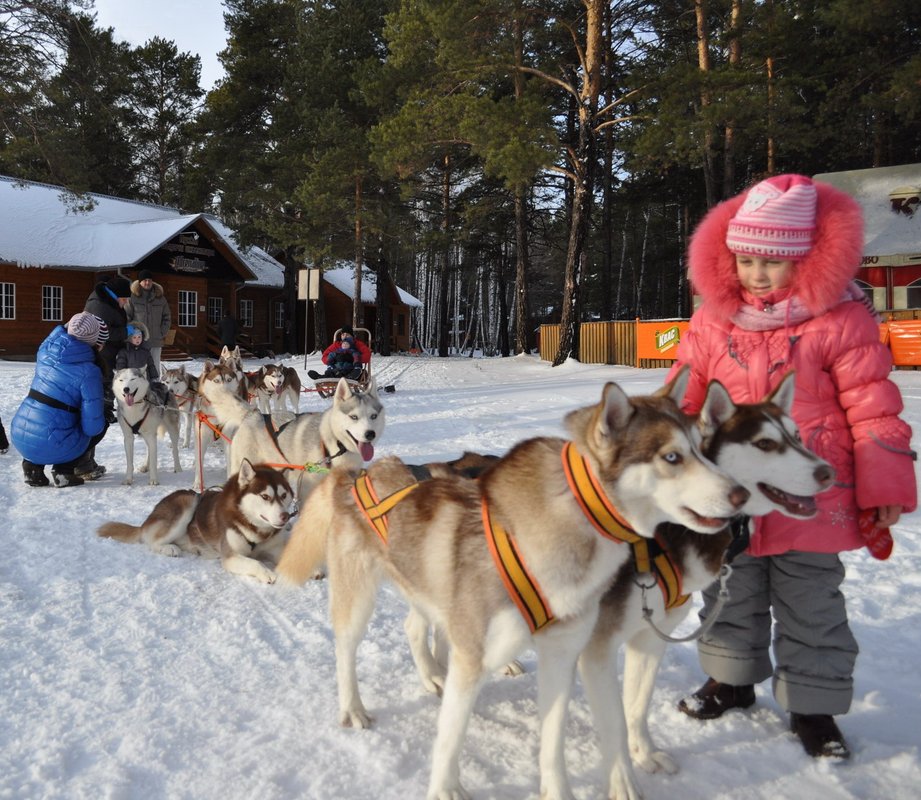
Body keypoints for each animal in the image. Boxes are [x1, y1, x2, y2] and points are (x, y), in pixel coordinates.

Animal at [97, 462, 292, 580]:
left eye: (284, 495)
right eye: (265, 496)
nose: (285, 516)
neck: (257, 530)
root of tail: (149, 518)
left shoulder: (275, 547)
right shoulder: (230, 556)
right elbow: (254, 562)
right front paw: (268, 573)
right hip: (187, 501)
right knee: (152, 542)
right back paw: (169, 548)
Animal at [201, 374, 384, 500]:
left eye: (373, 416)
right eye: (354, 417)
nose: (370, 434)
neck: (333, 445)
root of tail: (253, 413)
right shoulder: (307, 487)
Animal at [274, 374, 748, 800]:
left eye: (704, 450)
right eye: (672, 457)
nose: (740, 494)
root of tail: (354, 478)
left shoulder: (564, 653)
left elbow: (553, 741)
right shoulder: (483, 655)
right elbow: (450, 739)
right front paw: (447, 790)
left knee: (415, 629)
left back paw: (432, 674)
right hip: (359, 599)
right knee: (346, 650)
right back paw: (354, 708)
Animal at [584, 374, 832, 800]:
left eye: (798, 436)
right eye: (765, 444)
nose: (828, 472)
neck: (667, 531)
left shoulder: (649, 638)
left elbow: (636, 706)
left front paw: (644, 754)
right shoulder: (598, 646)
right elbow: (615, 720)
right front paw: (622, 782)